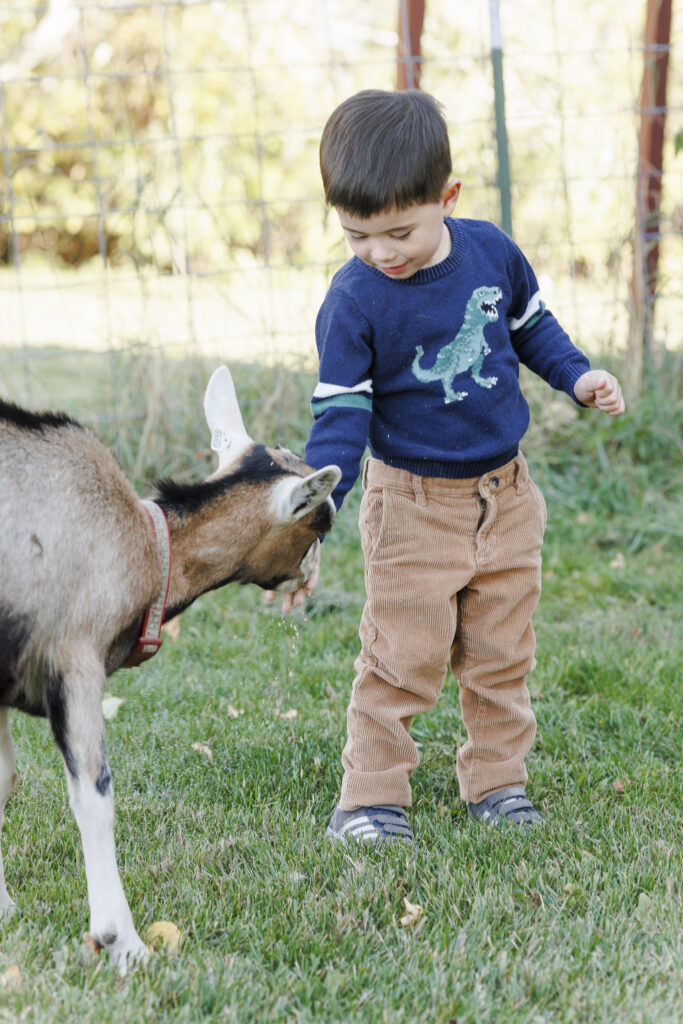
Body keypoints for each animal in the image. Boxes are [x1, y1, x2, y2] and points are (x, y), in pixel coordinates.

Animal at [0, 364, 342, 970]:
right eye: (319, 524)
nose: (309, 581)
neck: (144, 545)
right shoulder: (74, 657)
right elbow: (95, 796)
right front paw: (124, 942)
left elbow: (3, 780)